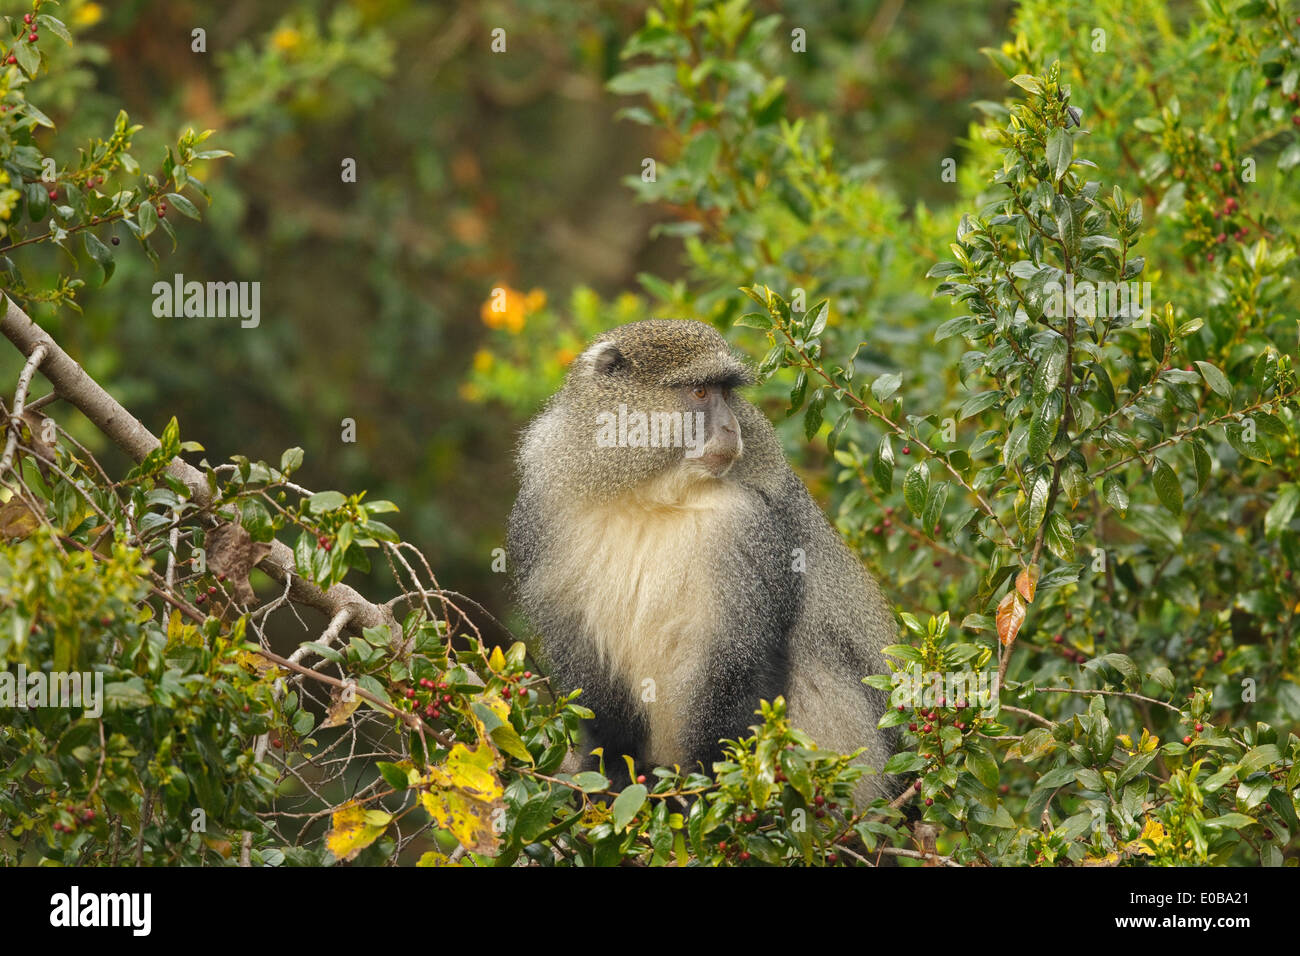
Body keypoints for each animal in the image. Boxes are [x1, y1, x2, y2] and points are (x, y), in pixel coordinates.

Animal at [501, 317, 899, 806]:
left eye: (727, 392)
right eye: (699, 392)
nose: (731, 428)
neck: (648, 496)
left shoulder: (747, 526)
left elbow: (740, 662)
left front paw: (712, 791)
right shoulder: (544, 508)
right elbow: (585, 660)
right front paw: (609, 769)